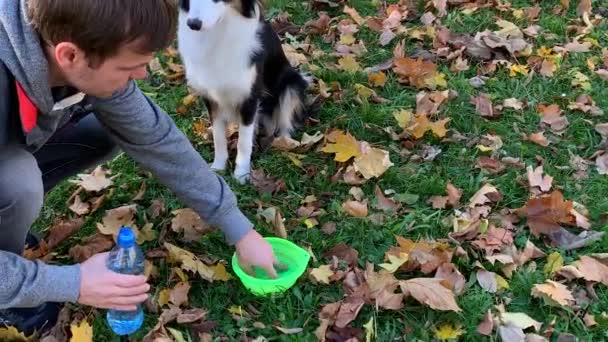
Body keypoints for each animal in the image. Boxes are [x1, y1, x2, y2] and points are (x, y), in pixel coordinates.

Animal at [176, 0, 308, 183]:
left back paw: (284, 143)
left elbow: (243, 142)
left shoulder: (249, 97)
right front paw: (218, 167)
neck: (219, 33)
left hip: (292, 84)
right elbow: (218, 137)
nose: (193, 24)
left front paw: (241, 175)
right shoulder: (211, 98)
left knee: (285, 124)